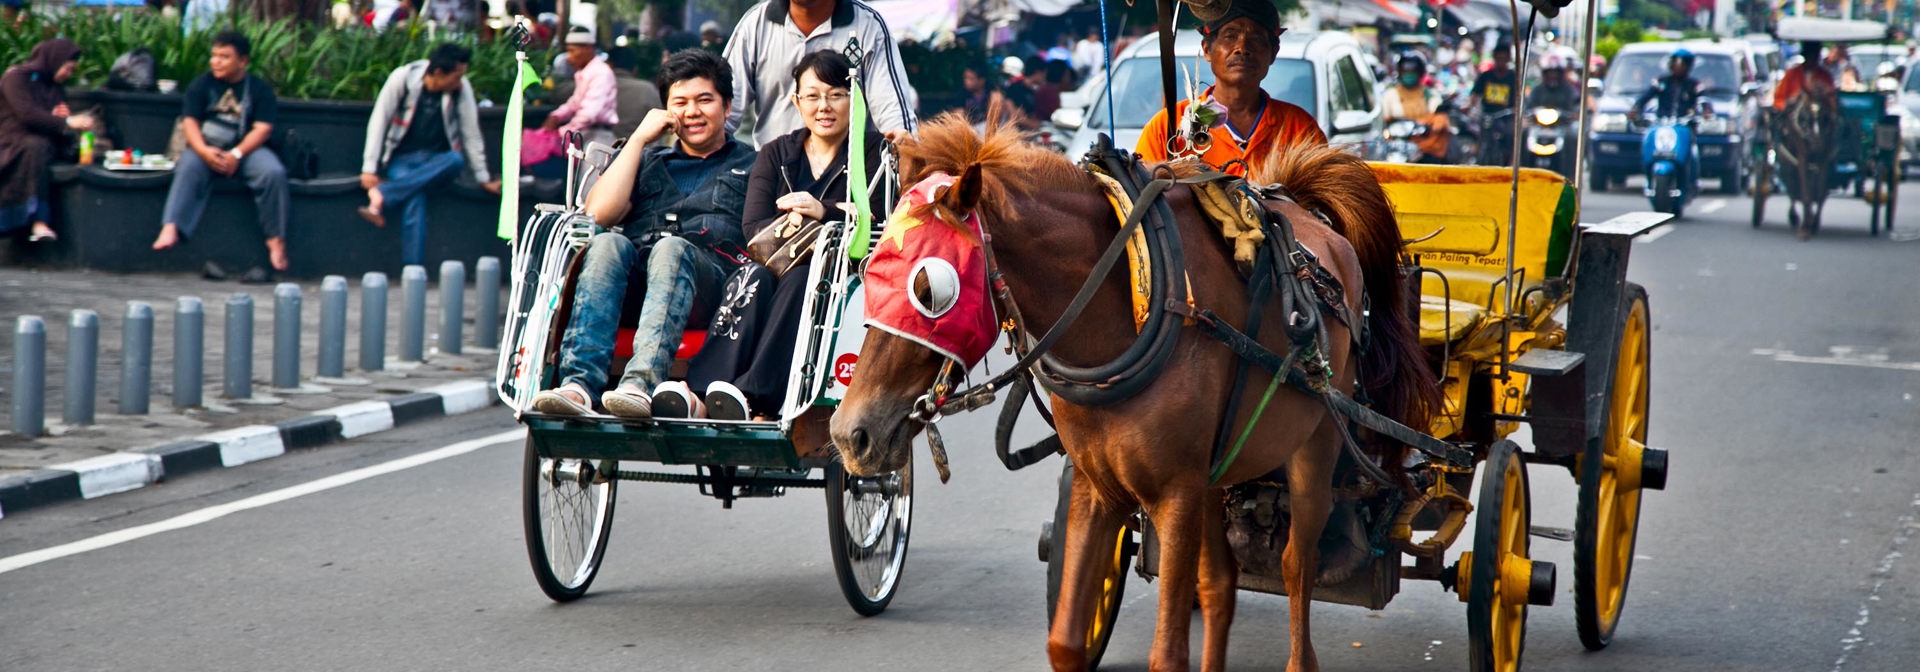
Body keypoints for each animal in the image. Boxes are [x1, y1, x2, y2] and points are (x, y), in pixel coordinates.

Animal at [833, 115, 1436, 672]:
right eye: (869, 267)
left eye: (929, 288)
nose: (849, 433)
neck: (1134, 303)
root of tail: (1318, 225)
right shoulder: (1099, 486)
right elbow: (1067, 642)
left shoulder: (1175, 493)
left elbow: (1167, 655)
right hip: (1214, 477)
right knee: (1220, 582)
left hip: (1314, 448)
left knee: (1296, 565)